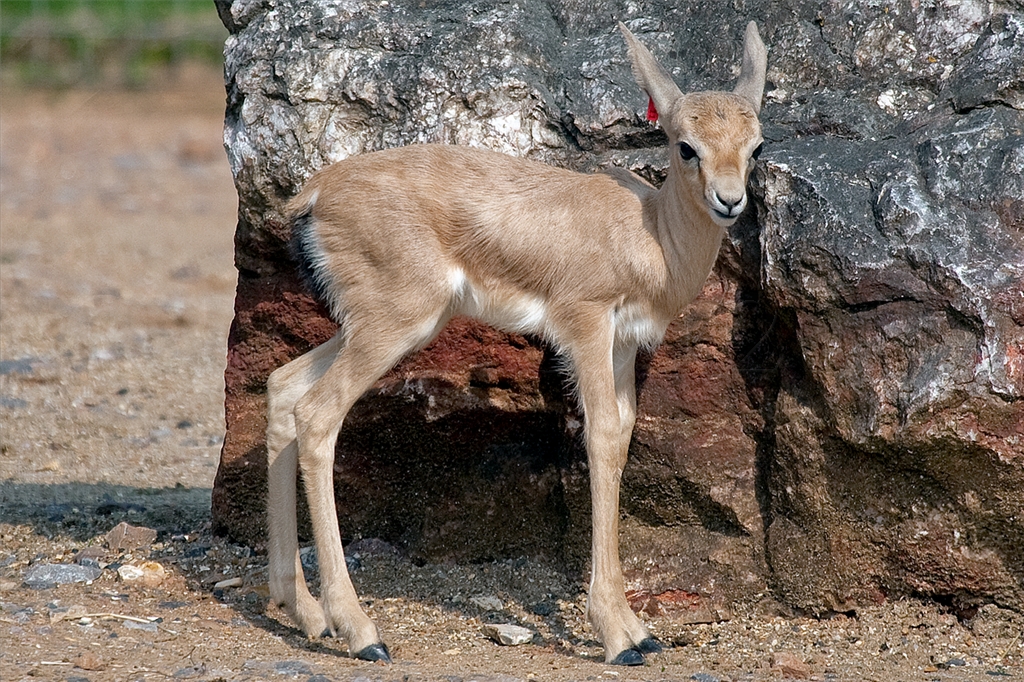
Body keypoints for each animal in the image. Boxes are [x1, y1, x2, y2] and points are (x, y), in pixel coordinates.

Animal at [265, 21, 767, 666]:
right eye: (686, 146)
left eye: (756, 147)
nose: (730, 201)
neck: (650, 233)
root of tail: (314, 193)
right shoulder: (585, 325)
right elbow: (600, 434)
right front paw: (618, 636)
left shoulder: (622, 346)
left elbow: (621, 437)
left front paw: (638, 629)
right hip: (391, 326)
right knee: (317, 413)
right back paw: (361, 631)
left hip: (381, 325)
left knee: (282, 386)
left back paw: (305, 613)